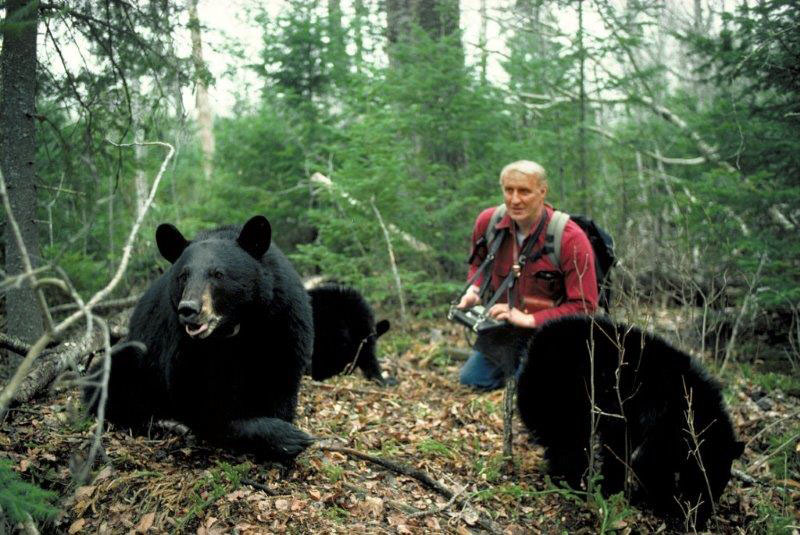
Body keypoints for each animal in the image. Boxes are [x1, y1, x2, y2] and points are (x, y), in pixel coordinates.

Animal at [85, 215, 314, 463]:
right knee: (108, 379)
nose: (189, 309)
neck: (233, 328)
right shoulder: (182, 345)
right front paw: (287, 437)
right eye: (183, 275)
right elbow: (200, 401)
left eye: (218, 274)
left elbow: (281, 378)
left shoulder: (282, 320)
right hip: (137, 357)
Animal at [516, 315, 743, 526]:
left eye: (720, 484)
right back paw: (573, 483)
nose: (701, 518)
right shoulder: (663, 424)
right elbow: (650, 462)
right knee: (569, 442)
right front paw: (667, 504)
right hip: (560, 396)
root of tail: (533, 347)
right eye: (704, 480)